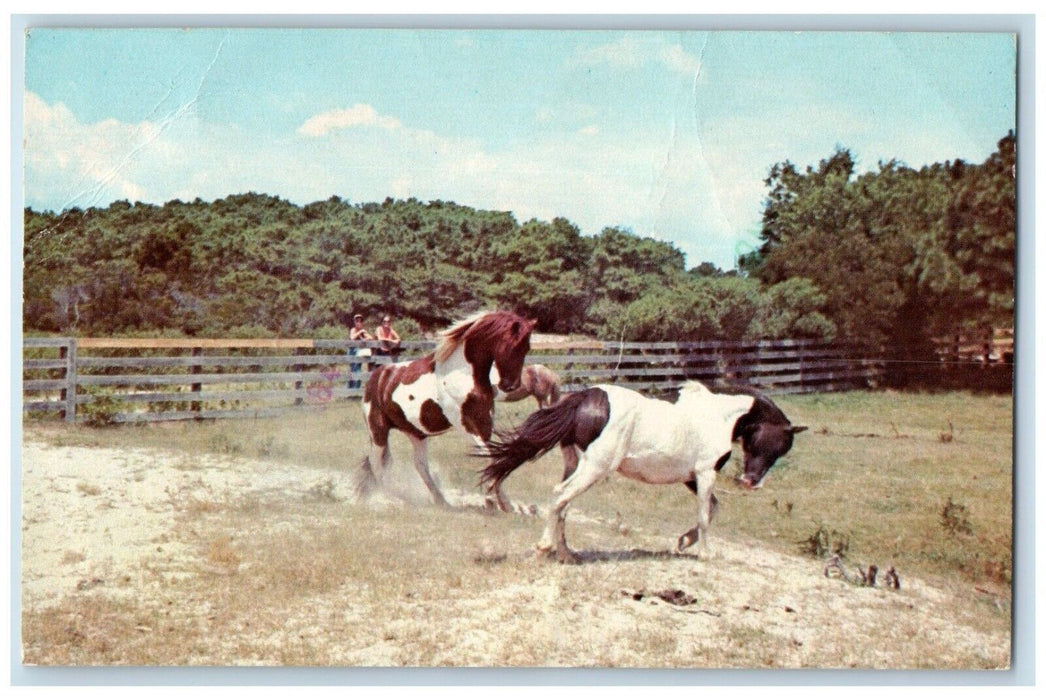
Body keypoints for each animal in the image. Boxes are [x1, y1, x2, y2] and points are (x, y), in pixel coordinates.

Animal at [359, 311, 539, 508]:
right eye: (512, 346)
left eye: (527, 347)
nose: (511, 385)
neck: (463, 374)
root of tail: (377, 377)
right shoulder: (466, 425)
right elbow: (489, 456)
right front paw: (501, 502)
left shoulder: (484, 423)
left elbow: (491, 457)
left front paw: (496, 500)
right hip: (378, 431)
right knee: (377, 465)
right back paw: (395, 499)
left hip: (416, 434)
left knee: (420, 466)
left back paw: (441, 501)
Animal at [479, 378, 803, 565]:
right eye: (776, 444)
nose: (750, 481)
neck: (718, 415)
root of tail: (586, 398)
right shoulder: (705, 473)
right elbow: (705, 514)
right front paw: (705, 553)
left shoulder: (691, 478)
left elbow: (713, 508)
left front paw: (684, 542)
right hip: (594, 468)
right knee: (559, 497)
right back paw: (544, 548)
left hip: (577, 465)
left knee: (563, 506)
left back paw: (566, 555)